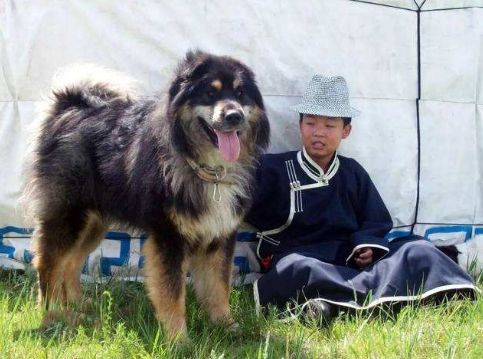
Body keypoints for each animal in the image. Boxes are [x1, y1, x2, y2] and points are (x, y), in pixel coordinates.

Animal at [24, 50, 270, 340]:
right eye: (210, 93)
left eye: (241, 93)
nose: (234, 115)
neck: (206, 169)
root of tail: (66, 109)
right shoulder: (168, 237)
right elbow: (172, 293)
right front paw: (178, 339)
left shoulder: (220, 235)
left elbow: (219, 287)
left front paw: (227, 327)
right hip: (68, 215)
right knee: (49, 264)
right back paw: (54, 315)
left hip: (94, 222)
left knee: (71, 262)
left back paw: (78, 305)